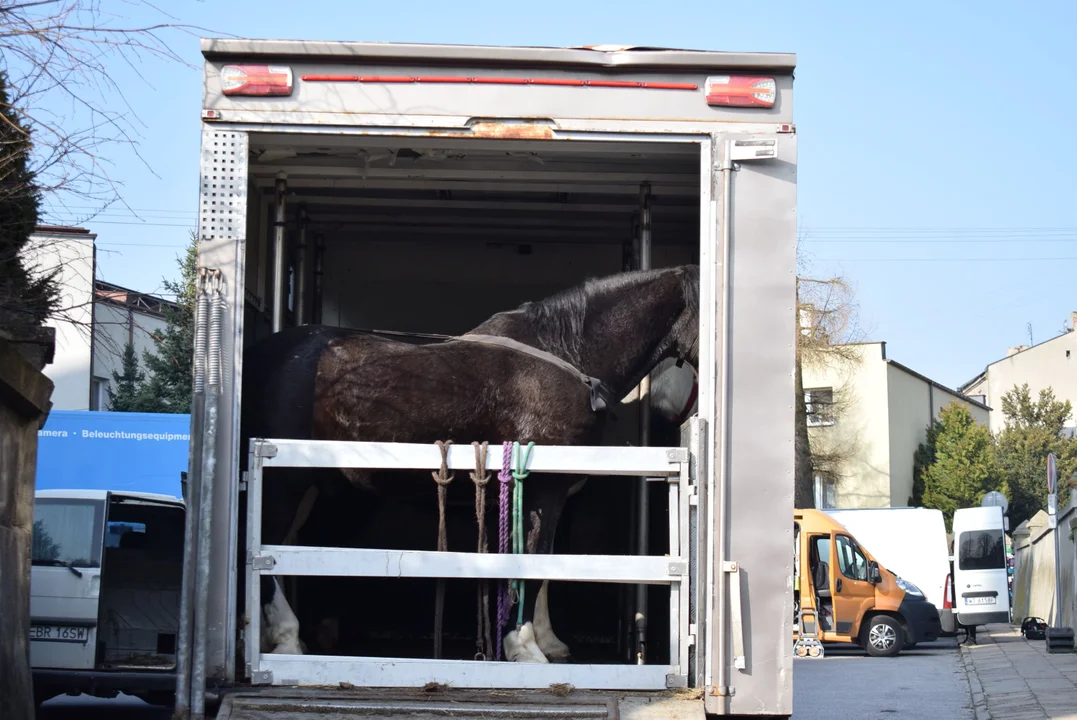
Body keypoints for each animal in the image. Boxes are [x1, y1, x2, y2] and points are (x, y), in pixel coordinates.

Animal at [240, 263, 702, 662]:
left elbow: (545, 562)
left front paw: (546, 642)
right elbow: (532, 560)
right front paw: (526, 649)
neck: (568, 358)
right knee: (271, 541)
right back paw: (286, 640)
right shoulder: (544, 487)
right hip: (286, 480)